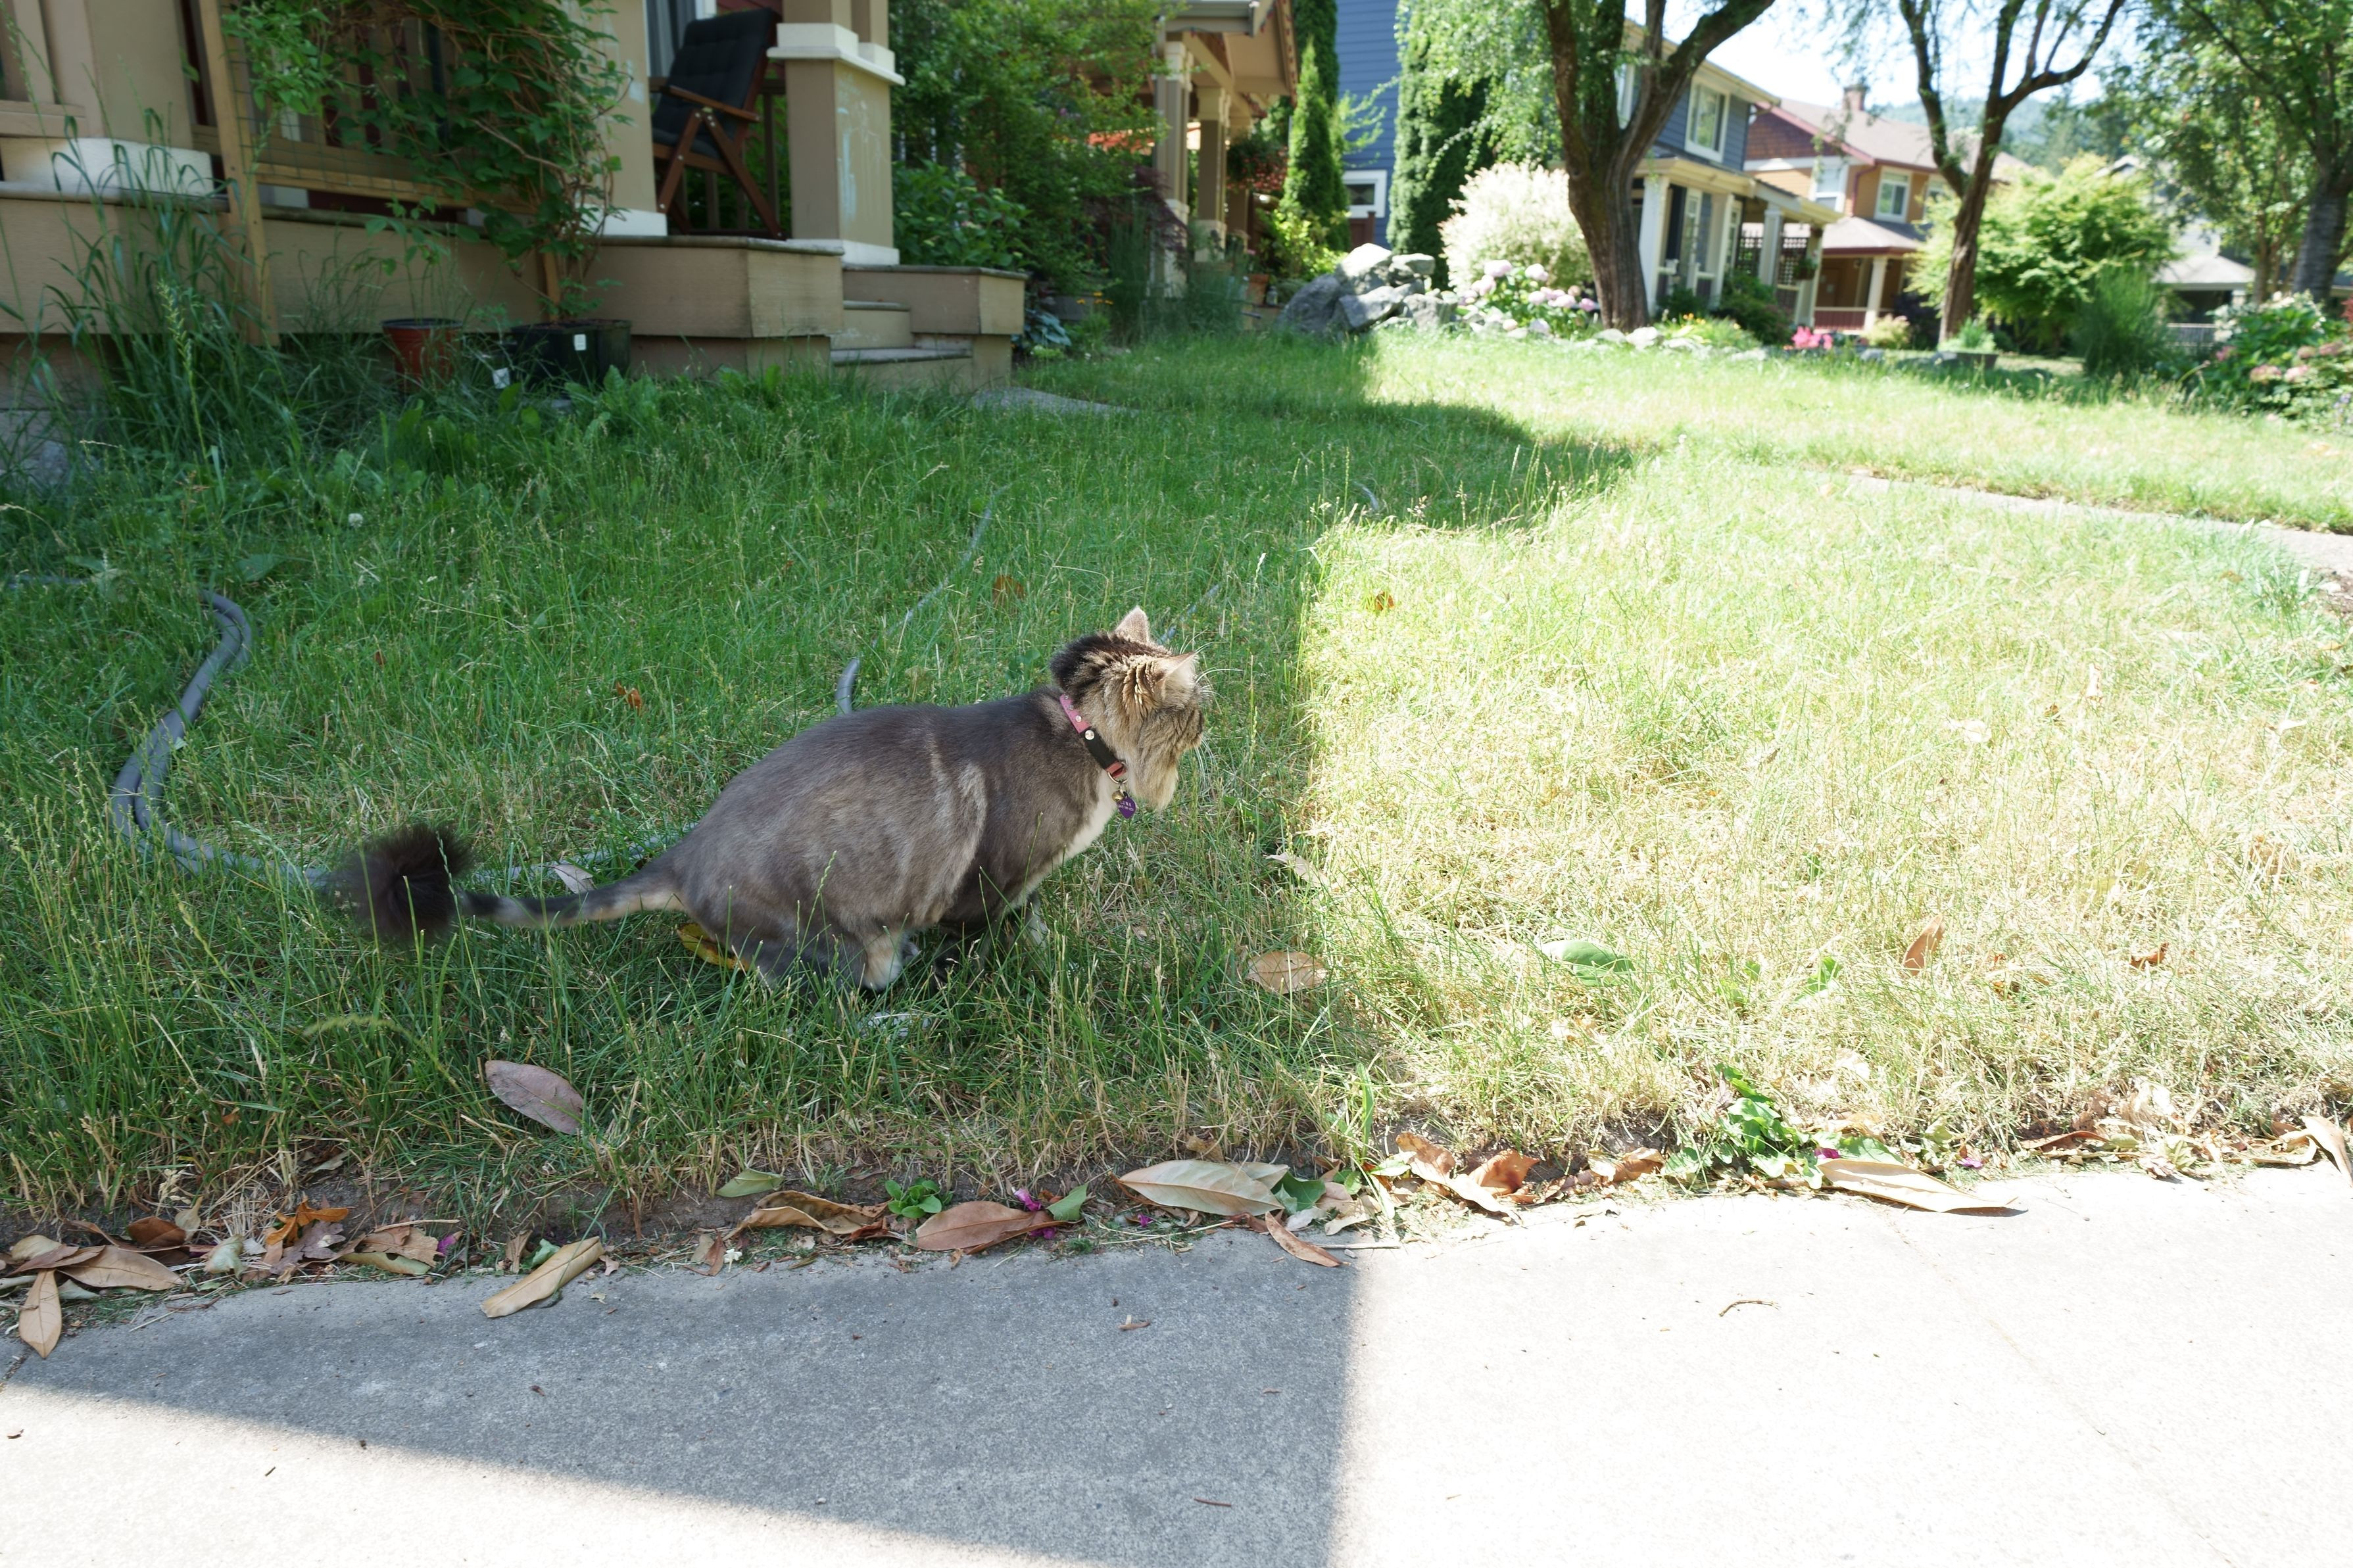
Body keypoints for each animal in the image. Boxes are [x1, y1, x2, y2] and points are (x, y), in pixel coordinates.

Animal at [334, 607, 1207, 988]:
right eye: (1197, 709)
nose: (1216, 723)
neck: (1078, 737)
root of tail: (682, 856)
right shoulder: (989, 880)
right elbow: (998, 929)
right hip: (841, 941)